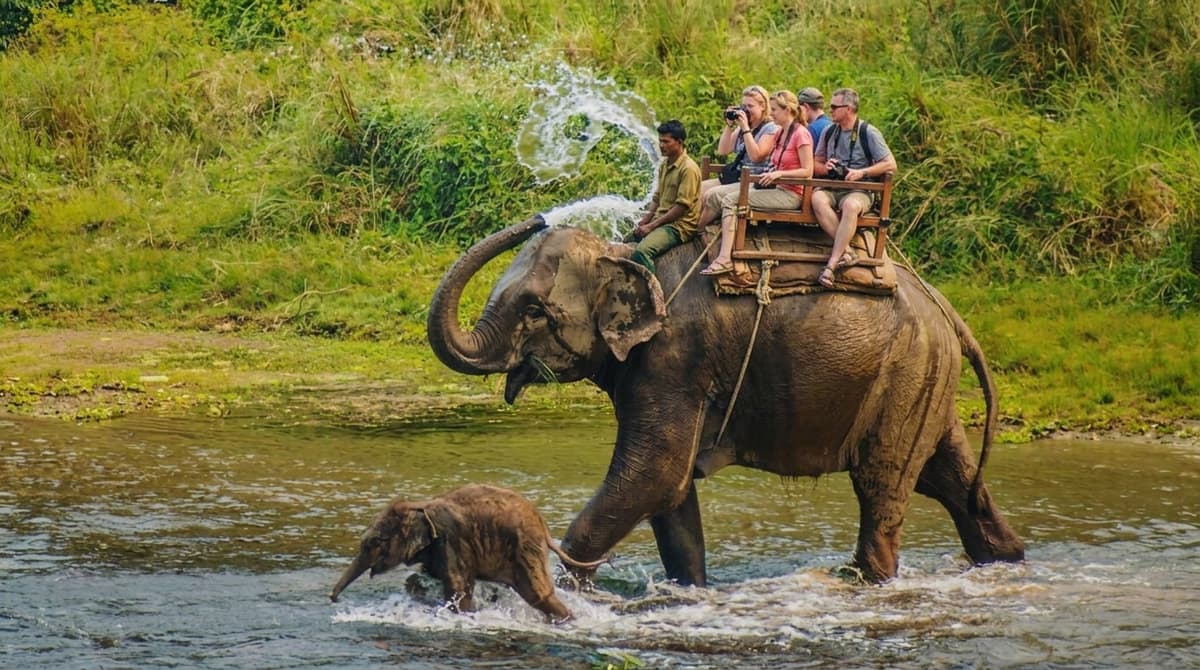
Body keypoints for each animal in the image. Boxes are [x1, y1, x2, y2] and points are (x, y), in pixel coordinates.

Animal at [329, 484, 606, 622]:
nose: (334, 599)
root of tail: (542, 523)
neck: (420, 505)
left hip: (526, 547)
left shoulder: (452, 541)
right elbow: (421, 578)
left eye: (377, 542)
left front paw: (462, 615)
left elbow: (458, 588)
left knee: (537, 594)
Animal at [425, 215, 1025, 585]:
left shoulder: (675, 358)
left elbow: (655, 475)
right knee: (951, 481)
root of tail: (945, 306)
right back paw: (1005, 560)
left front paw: (565, 590)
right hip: (923, 378)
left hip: (903, 373)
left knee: (882, 486)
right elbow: (670, 493)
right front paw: (688, 589)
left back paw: (862, 581)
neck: (625, 255)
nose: (538, 217)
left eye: (533, 310)